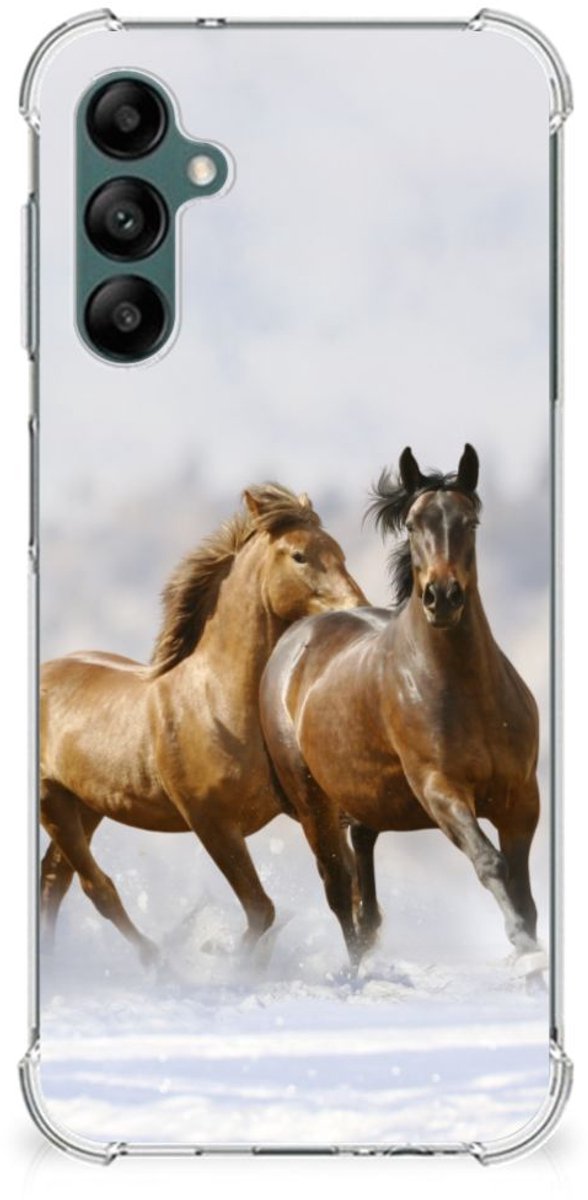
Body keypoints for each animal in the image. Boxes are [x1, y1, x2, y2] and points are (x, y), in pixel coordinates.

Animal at [40, 483, 367, 964]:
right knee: (95, 887)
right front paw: (228, 962)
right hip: (54, 803)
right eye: (299, 556)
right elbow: (261, 910)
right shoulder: (211, 823)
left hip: (86, 805)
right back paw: (157, 962)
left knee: (54, 880)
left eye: (340, 551)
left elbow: (342, 887)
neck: (219, 704)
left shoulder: (310, 809)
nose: (358, 609)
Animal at [260, 446, 541, 969]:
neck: (468, 693)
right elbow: (490, 863)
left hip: (363, 802)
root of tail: (294, 640)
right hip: (314, 805)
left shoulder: (521, 798)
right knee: (339, 891)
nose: (442, 597)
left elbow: (523, 891)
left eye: (470, 521)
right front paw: (521, 945)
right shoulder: (440, 790)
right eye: (412, 524)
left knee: (364, 892)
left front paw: (531, 951)